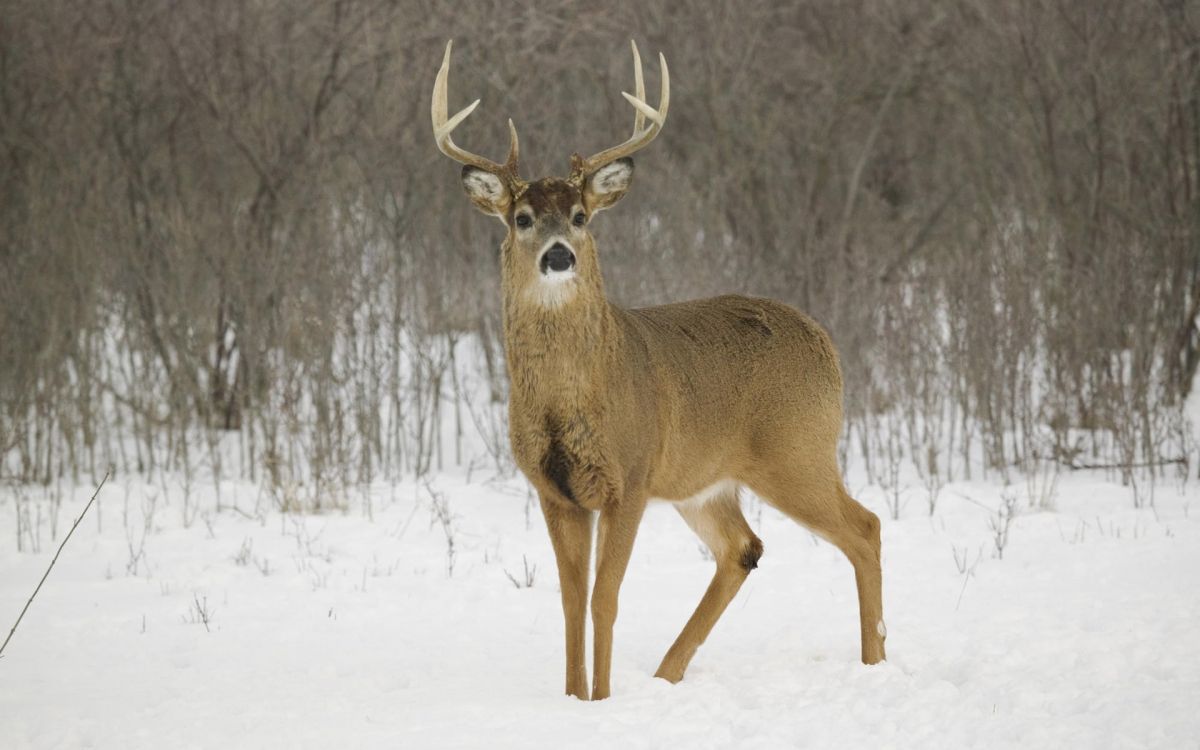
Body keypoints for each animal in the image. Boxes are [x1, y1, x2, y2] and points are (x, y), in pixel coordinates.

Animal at [431, 40, 886, 701]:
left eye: (580, 215)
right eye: (522, 218)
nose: (559, 256)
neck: (571, 399)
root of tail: (825, 341)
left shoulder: (631, 476)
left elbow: (605, 600)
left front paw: (600, 700)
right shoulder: (554, 490)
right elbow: (570, 603)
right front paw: (574, 698)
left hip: (796, 450)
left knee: (865, 528)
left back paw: (876, 663)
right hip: (706, 480)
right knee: (743, 548)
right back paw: (668, 675)